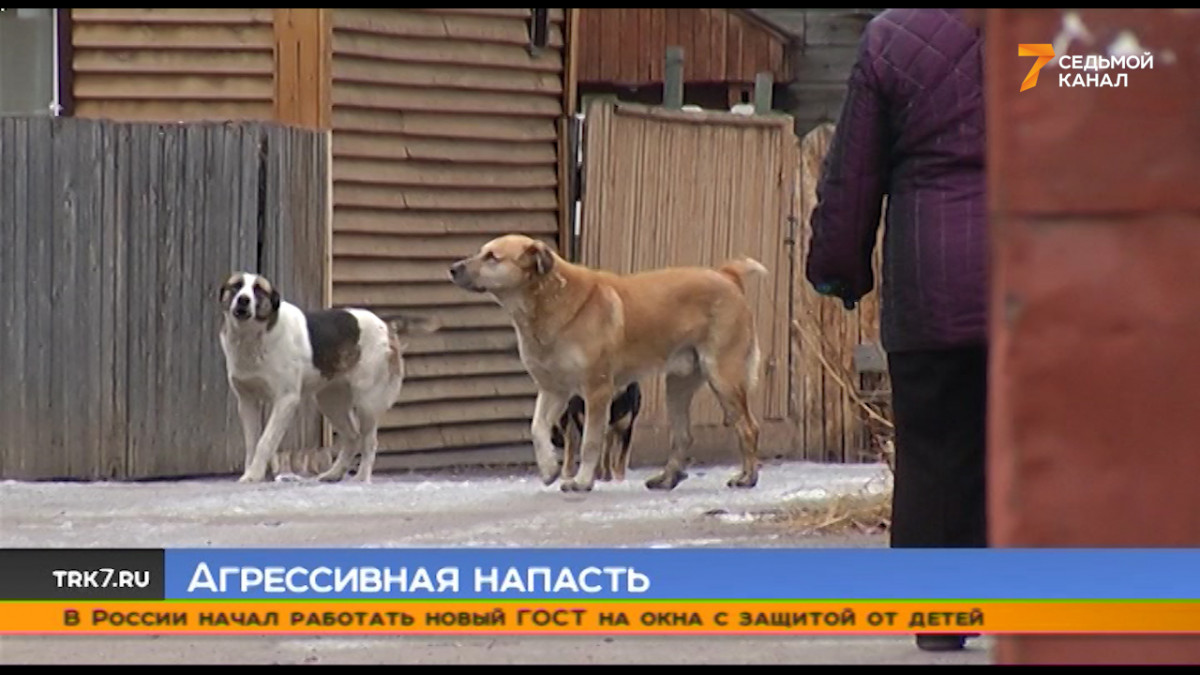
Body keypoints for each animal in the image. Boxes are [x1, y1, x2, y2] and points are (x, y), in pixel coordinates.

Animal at [218, 273, 439, 482]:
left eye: (258, 289)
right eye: (236, 286)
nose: (243, 299)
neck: (253, 337)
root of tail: (384, 324)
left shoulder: (286, 400)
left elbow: (265, 441)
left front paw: (254, 475)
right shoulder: (247, 402)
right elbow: (252, 443)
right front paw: (250, 473)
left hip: (367, 403)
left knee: (369, 441)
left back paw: (362, 478)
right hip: (330, 401)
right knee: (352, 437)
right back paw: (334, 473)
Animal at [446, 234, 763, 492]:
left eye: (492, 257)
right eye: (482, 251)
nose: (452, 268)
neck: (548, 300)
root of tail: (727, 275)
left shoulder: (596, 391)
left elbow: (591, 442)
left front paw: (582, 481)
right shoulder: (554, 390)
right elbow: (537, 428)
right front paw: (549, 469)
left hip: (723, 375)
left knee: (748, 427)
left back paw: (747, 478)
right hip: (678, 384)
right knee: (683, 435)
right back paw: (667, 479)